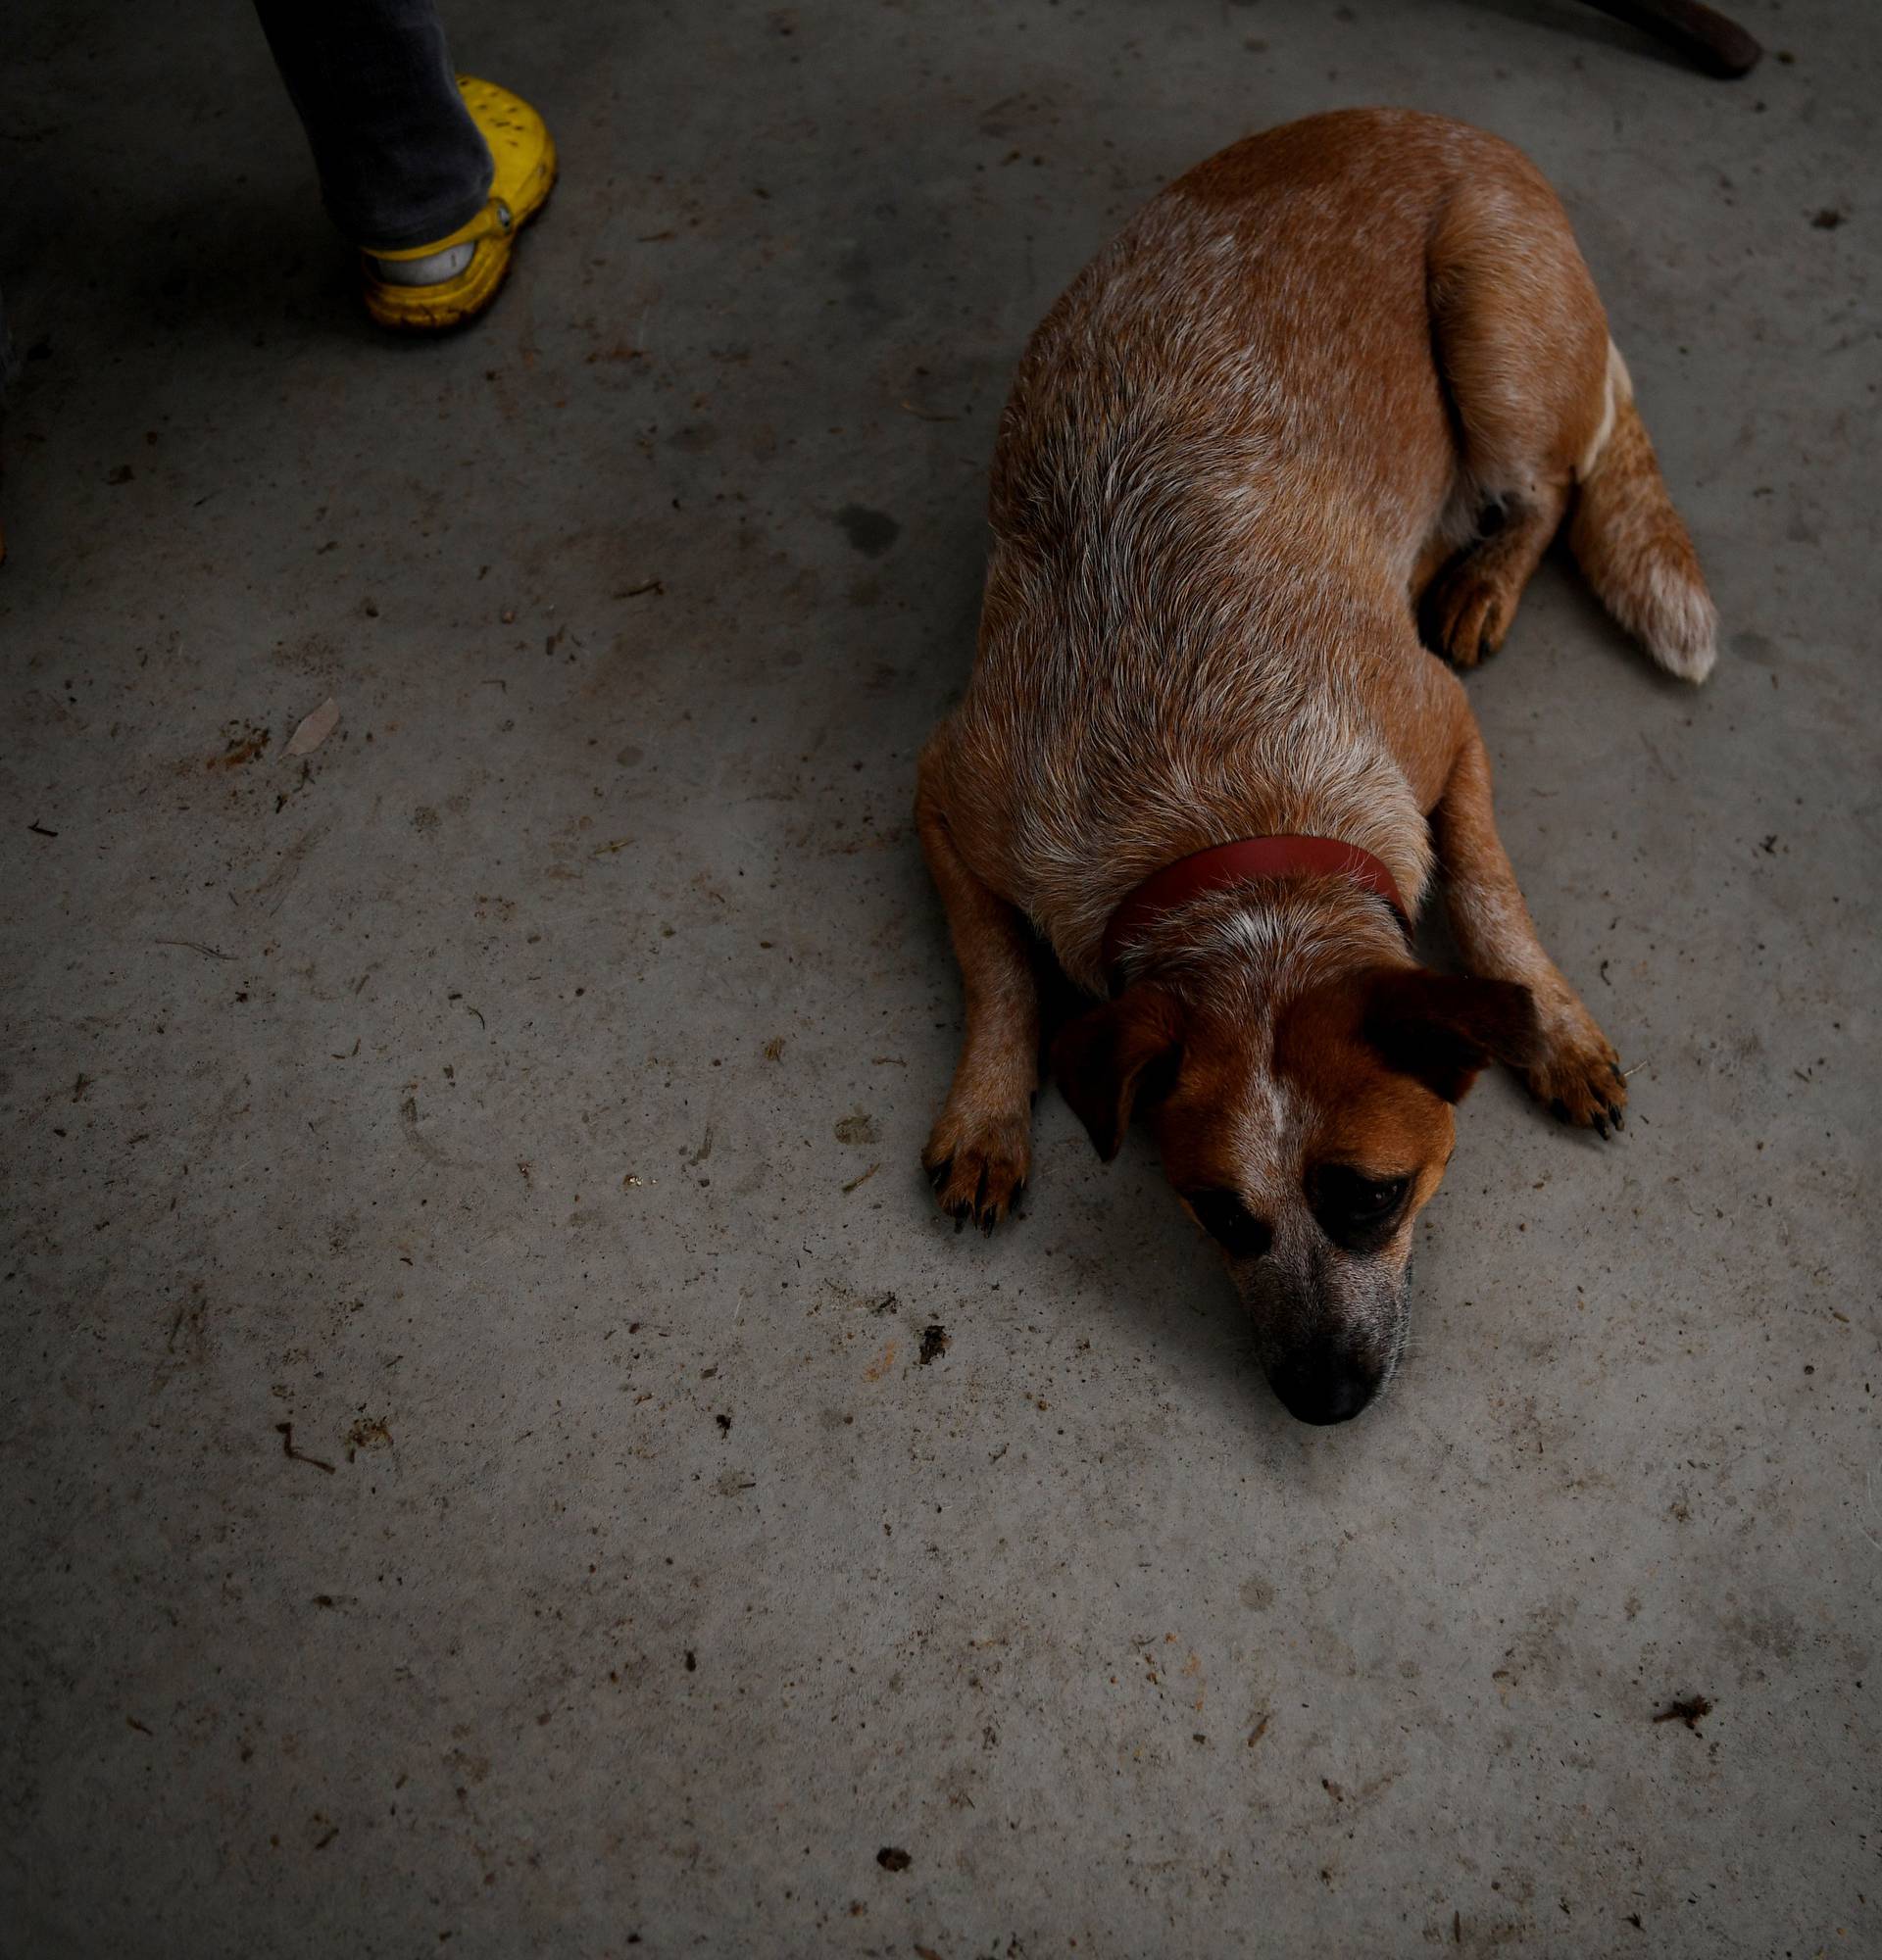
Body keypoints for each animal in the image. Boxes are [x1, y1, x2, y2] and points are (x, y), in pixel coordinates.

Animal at [914, 111, 1717, 1427]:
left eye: (1373, 1196)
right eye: (1219, 1216)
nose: (1324, 1397)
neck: (1222, 807)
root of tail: (1460, 127)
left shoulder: (1442, 725)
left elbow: (1487, 886)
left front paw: (1552, 1025)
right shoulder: (954, 785)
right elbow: (998, 971)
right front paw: (989, 1109)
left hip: (1495, 319)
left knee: (1546, 486)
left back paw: (1482, 575)